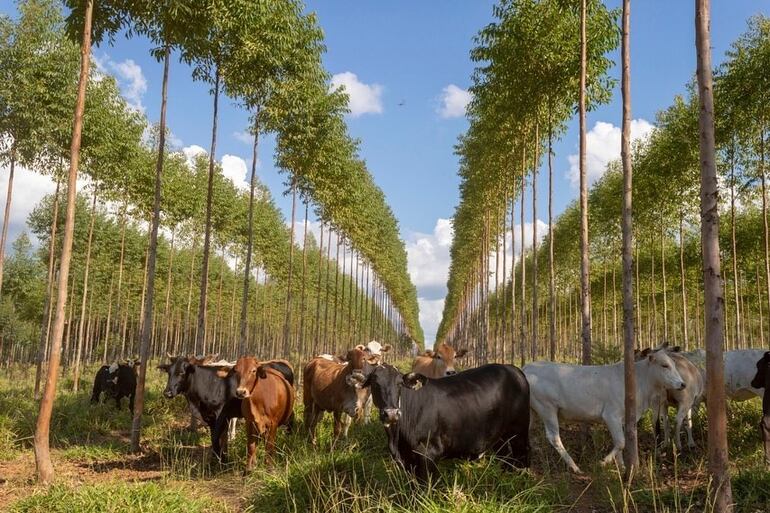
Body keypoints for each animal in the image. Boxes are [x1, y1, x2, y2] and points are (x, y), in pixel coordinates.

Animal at [352, 364, 528, 476]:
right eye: (374, 383)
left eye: (400, 383)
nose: (391, 413)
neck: (396, 440)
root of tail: (513, 369)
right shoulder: (408, 460)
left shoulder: (428, 454)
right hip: (499, 436)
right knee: (505, 457)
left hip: (519, 431)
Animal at [520, 350, 684, 474]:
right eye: (664, 365)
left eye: (674, 365)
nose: (682, 384)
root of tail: (527, 367)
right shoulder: (611, 415)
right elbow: (621, 442)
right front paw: (603, 462)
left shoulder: (622, 419)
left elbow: (620, 442)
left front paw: (621, 467)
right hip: (547, 408)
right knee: (554, 437)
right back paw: (574, 467)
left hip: (531, 411)